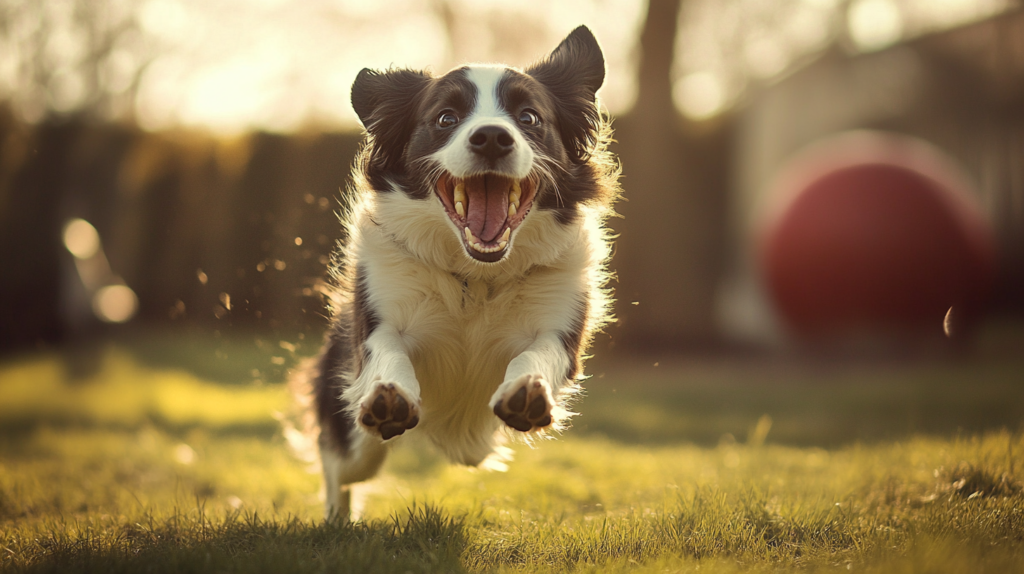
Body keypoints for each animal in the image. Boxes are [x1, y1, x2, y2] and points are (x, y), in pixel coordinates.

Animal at [299, 25, 618, 519]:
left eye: (529, 117)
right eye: (446, 118)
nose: (491, 137)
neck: (477, 276)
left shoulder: (561, 324)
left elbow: (539, 354)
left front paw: (527, 390)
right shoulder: (379, 315)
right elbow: (386, 351)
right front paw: (389, 394)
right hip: (348, 427)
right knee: (343, 464)